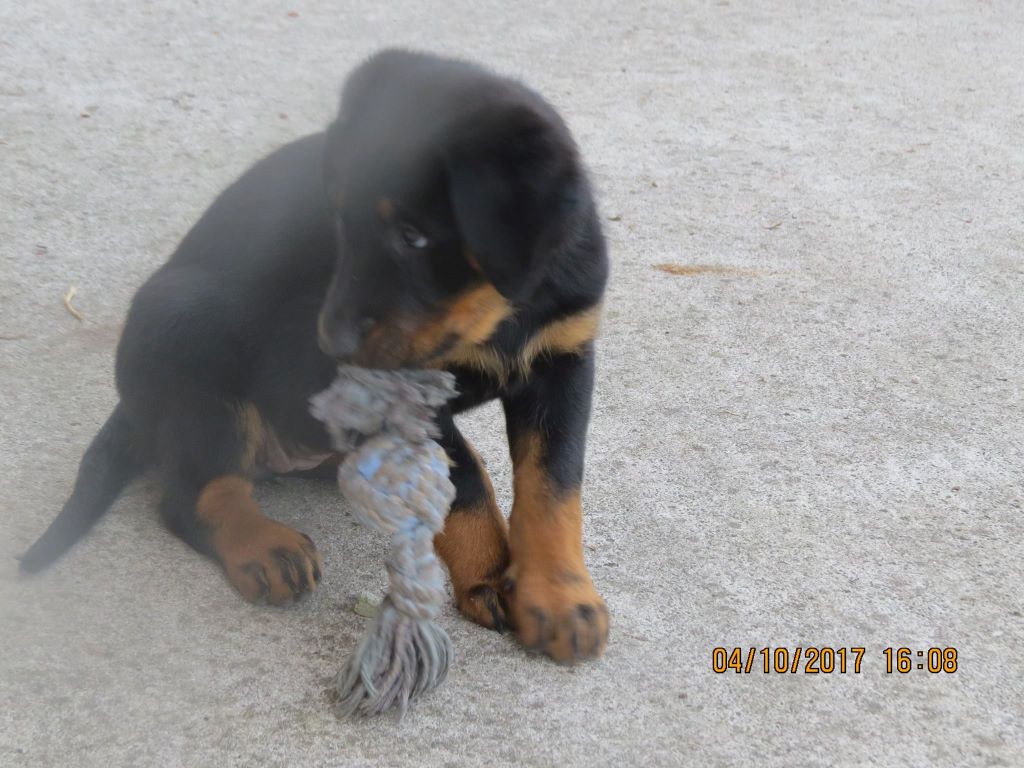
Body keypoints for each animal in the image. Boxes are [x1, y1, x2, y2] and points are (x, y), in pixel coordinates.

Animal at [21, 49, 609, 663]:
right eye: (340, 221)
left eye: (414, 236)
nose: (330, 344)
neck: (498, 312)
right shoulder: (402, 393)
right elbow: (467, 475)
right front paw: (490, 573)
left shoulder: (565, 359)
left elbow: (553, 484)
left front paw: (559, 596)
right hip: (188, 342)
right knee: (194, 493)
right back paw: (264, 547)